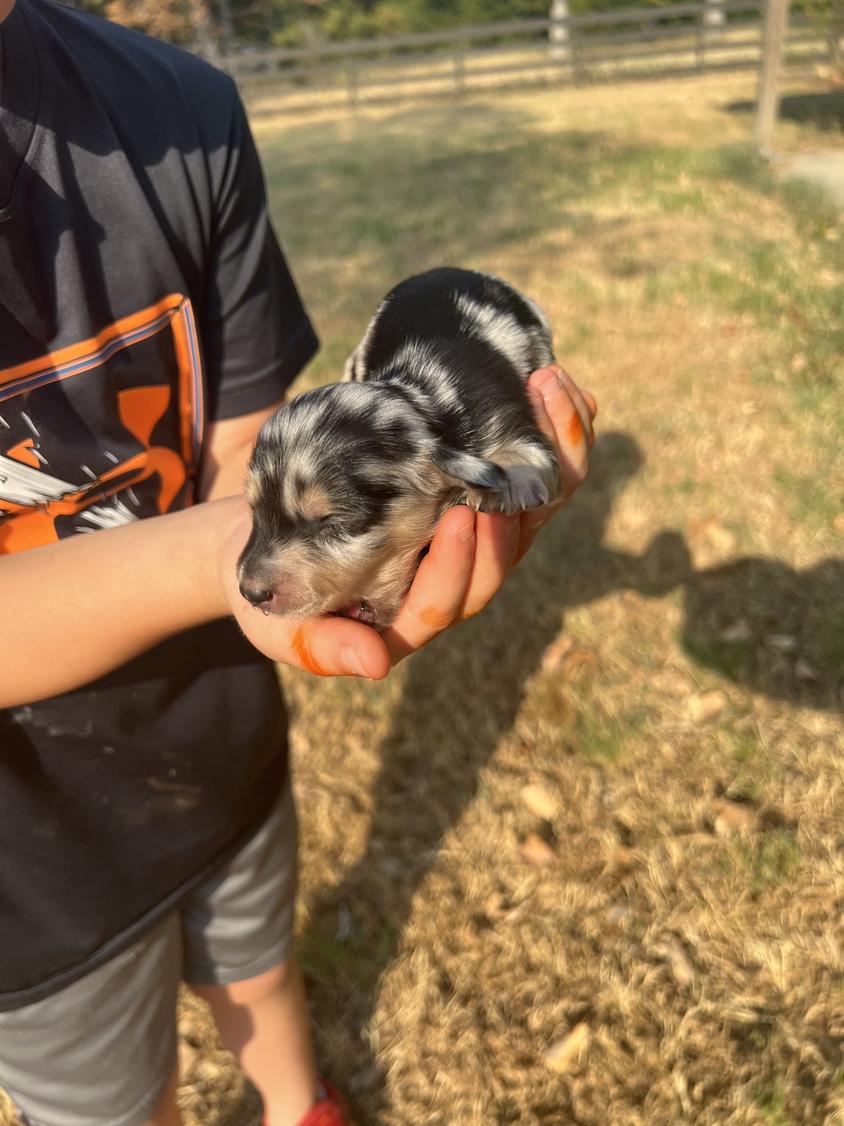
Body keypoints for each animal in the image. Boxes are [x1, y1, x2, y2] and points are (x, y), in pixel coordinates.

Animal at [239, 267, 562, 630]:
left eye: (331, 522)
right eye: (254, 510)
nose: (250, 593)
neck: (424, 396)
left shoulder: (501, 412)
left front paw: (510, 478)